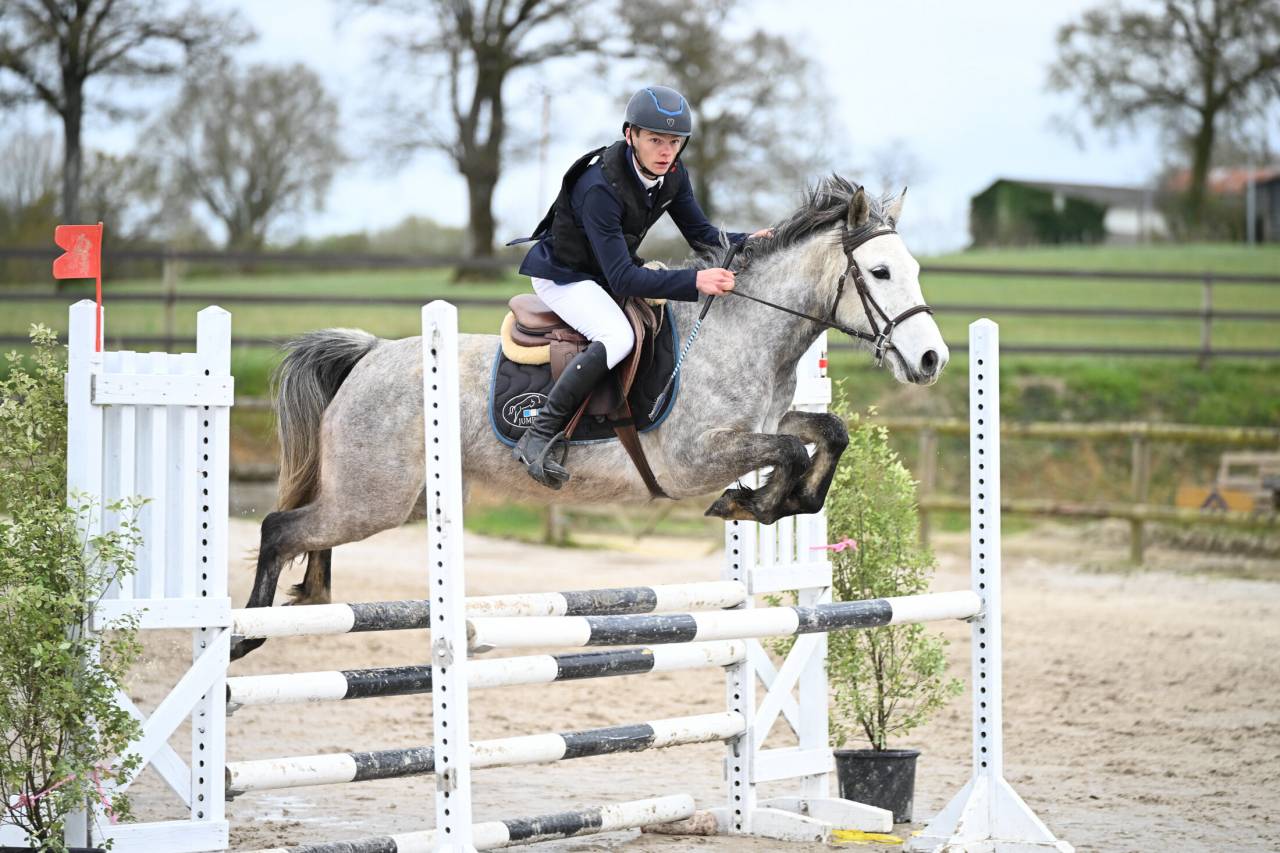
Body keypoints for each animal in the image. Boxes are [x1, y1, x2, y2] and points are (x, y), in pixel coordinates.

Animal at [230, 178, 948, 660]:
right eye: (879, 271)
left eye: (913, 269)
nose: (932, 358)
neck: (741, 331)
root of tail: (372, 355)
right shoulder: (694, 459)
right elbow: (791, 454)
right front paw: (751, 502)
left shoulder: (764, 423)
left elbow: (825, 435)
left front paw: (770, 501)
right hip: (374, 496)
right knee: (280, 526)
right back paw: (246, 634)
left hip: (393, 498)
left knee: (305, 532)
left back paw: (307, 598)